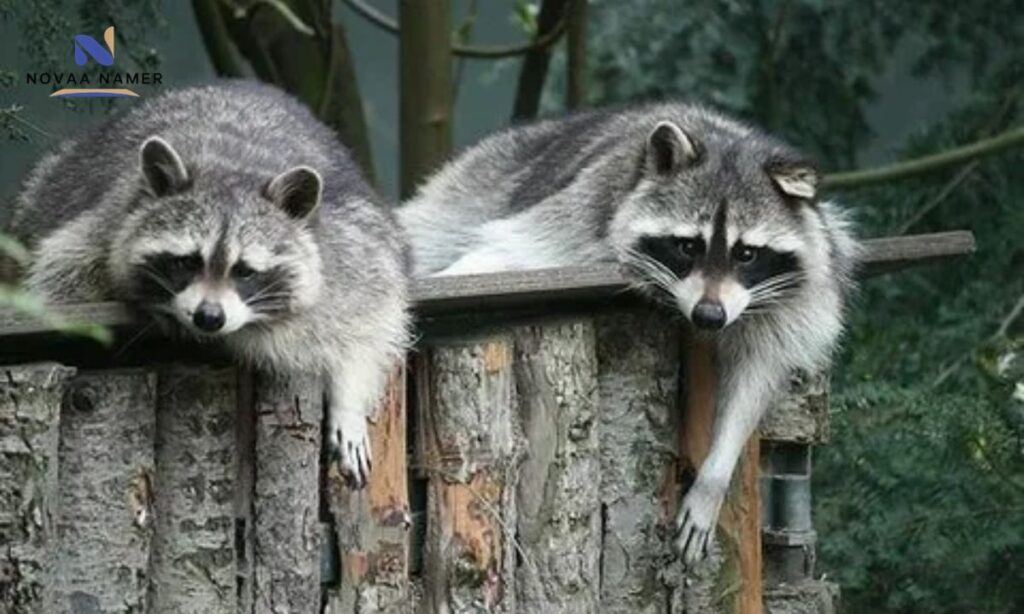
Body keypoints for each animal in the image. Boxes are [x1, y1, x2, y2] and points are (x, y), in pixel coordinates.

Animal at [9, 81, 410, 487]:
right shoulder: (102, 229)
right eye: (187, 261)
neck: (233, 168)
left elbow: (372, 315)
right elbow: (61, 278)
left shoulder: (349, 242)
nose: (209, 317)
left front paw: (349, 399)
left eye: (245, 271)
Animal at [399, 104, 859, 563]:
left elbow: (755, 379)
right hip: (477, 183)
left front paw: (715, 473)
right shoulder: (579, 216)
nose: (709, 316)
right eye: (687, 246)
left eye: (746, 254)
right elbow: (507, 250)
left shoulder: (791, 296)